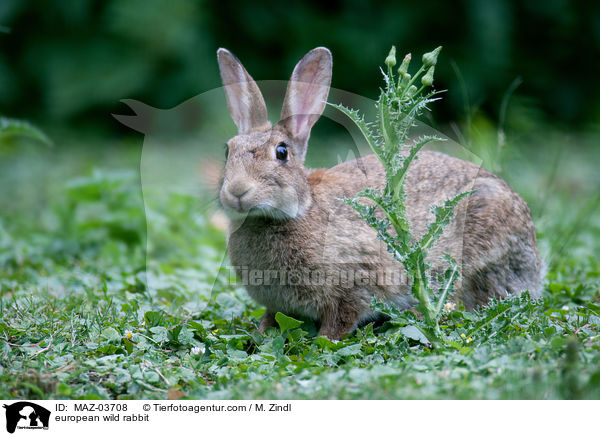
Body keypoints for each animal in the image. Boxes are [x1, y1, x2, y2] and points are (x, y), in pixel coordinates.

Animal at [218, 47, 548, 340]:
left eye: (282, 153)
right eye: (227, 151)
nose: (237, 191)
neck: (301, 209)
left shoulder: (356, 282)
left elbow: (339, 321)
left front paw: (324, 342)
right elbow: (272, 318)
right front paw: (260, 334)